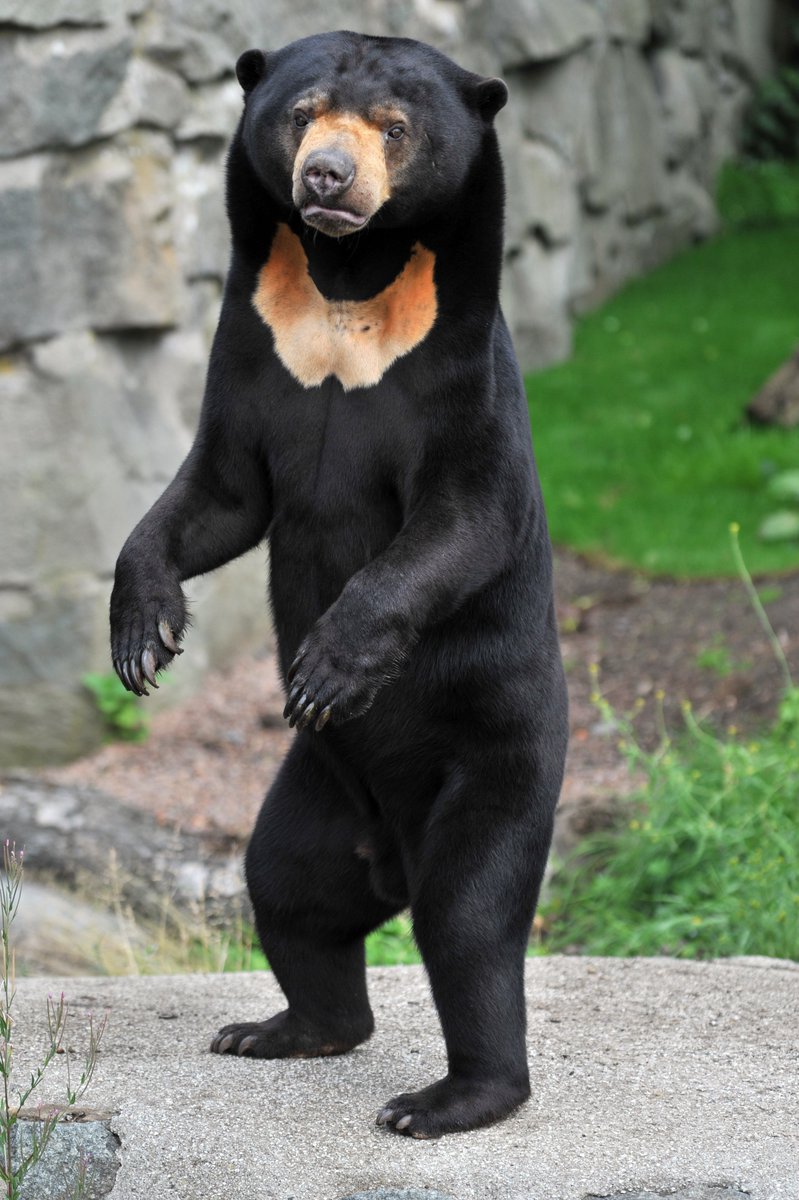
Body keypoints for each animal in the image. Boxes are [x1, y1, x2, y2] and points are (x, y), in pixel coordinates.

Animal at [110, 30, 569, 1139]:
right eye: (303, 111)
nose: (325, 177)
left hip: (499, 756)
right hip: (317, 796)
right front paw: (144, 634)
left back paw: (447, 1100)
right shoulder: (253, 345)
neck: (346, 284)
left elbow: (462, 519)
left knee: (468, 922)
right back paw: (281, 1029)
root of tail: (390, 859)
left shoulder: (454, 368)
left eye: (394, 128)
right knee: (287, 889)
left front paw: (326, 662)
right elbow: (219, 494)